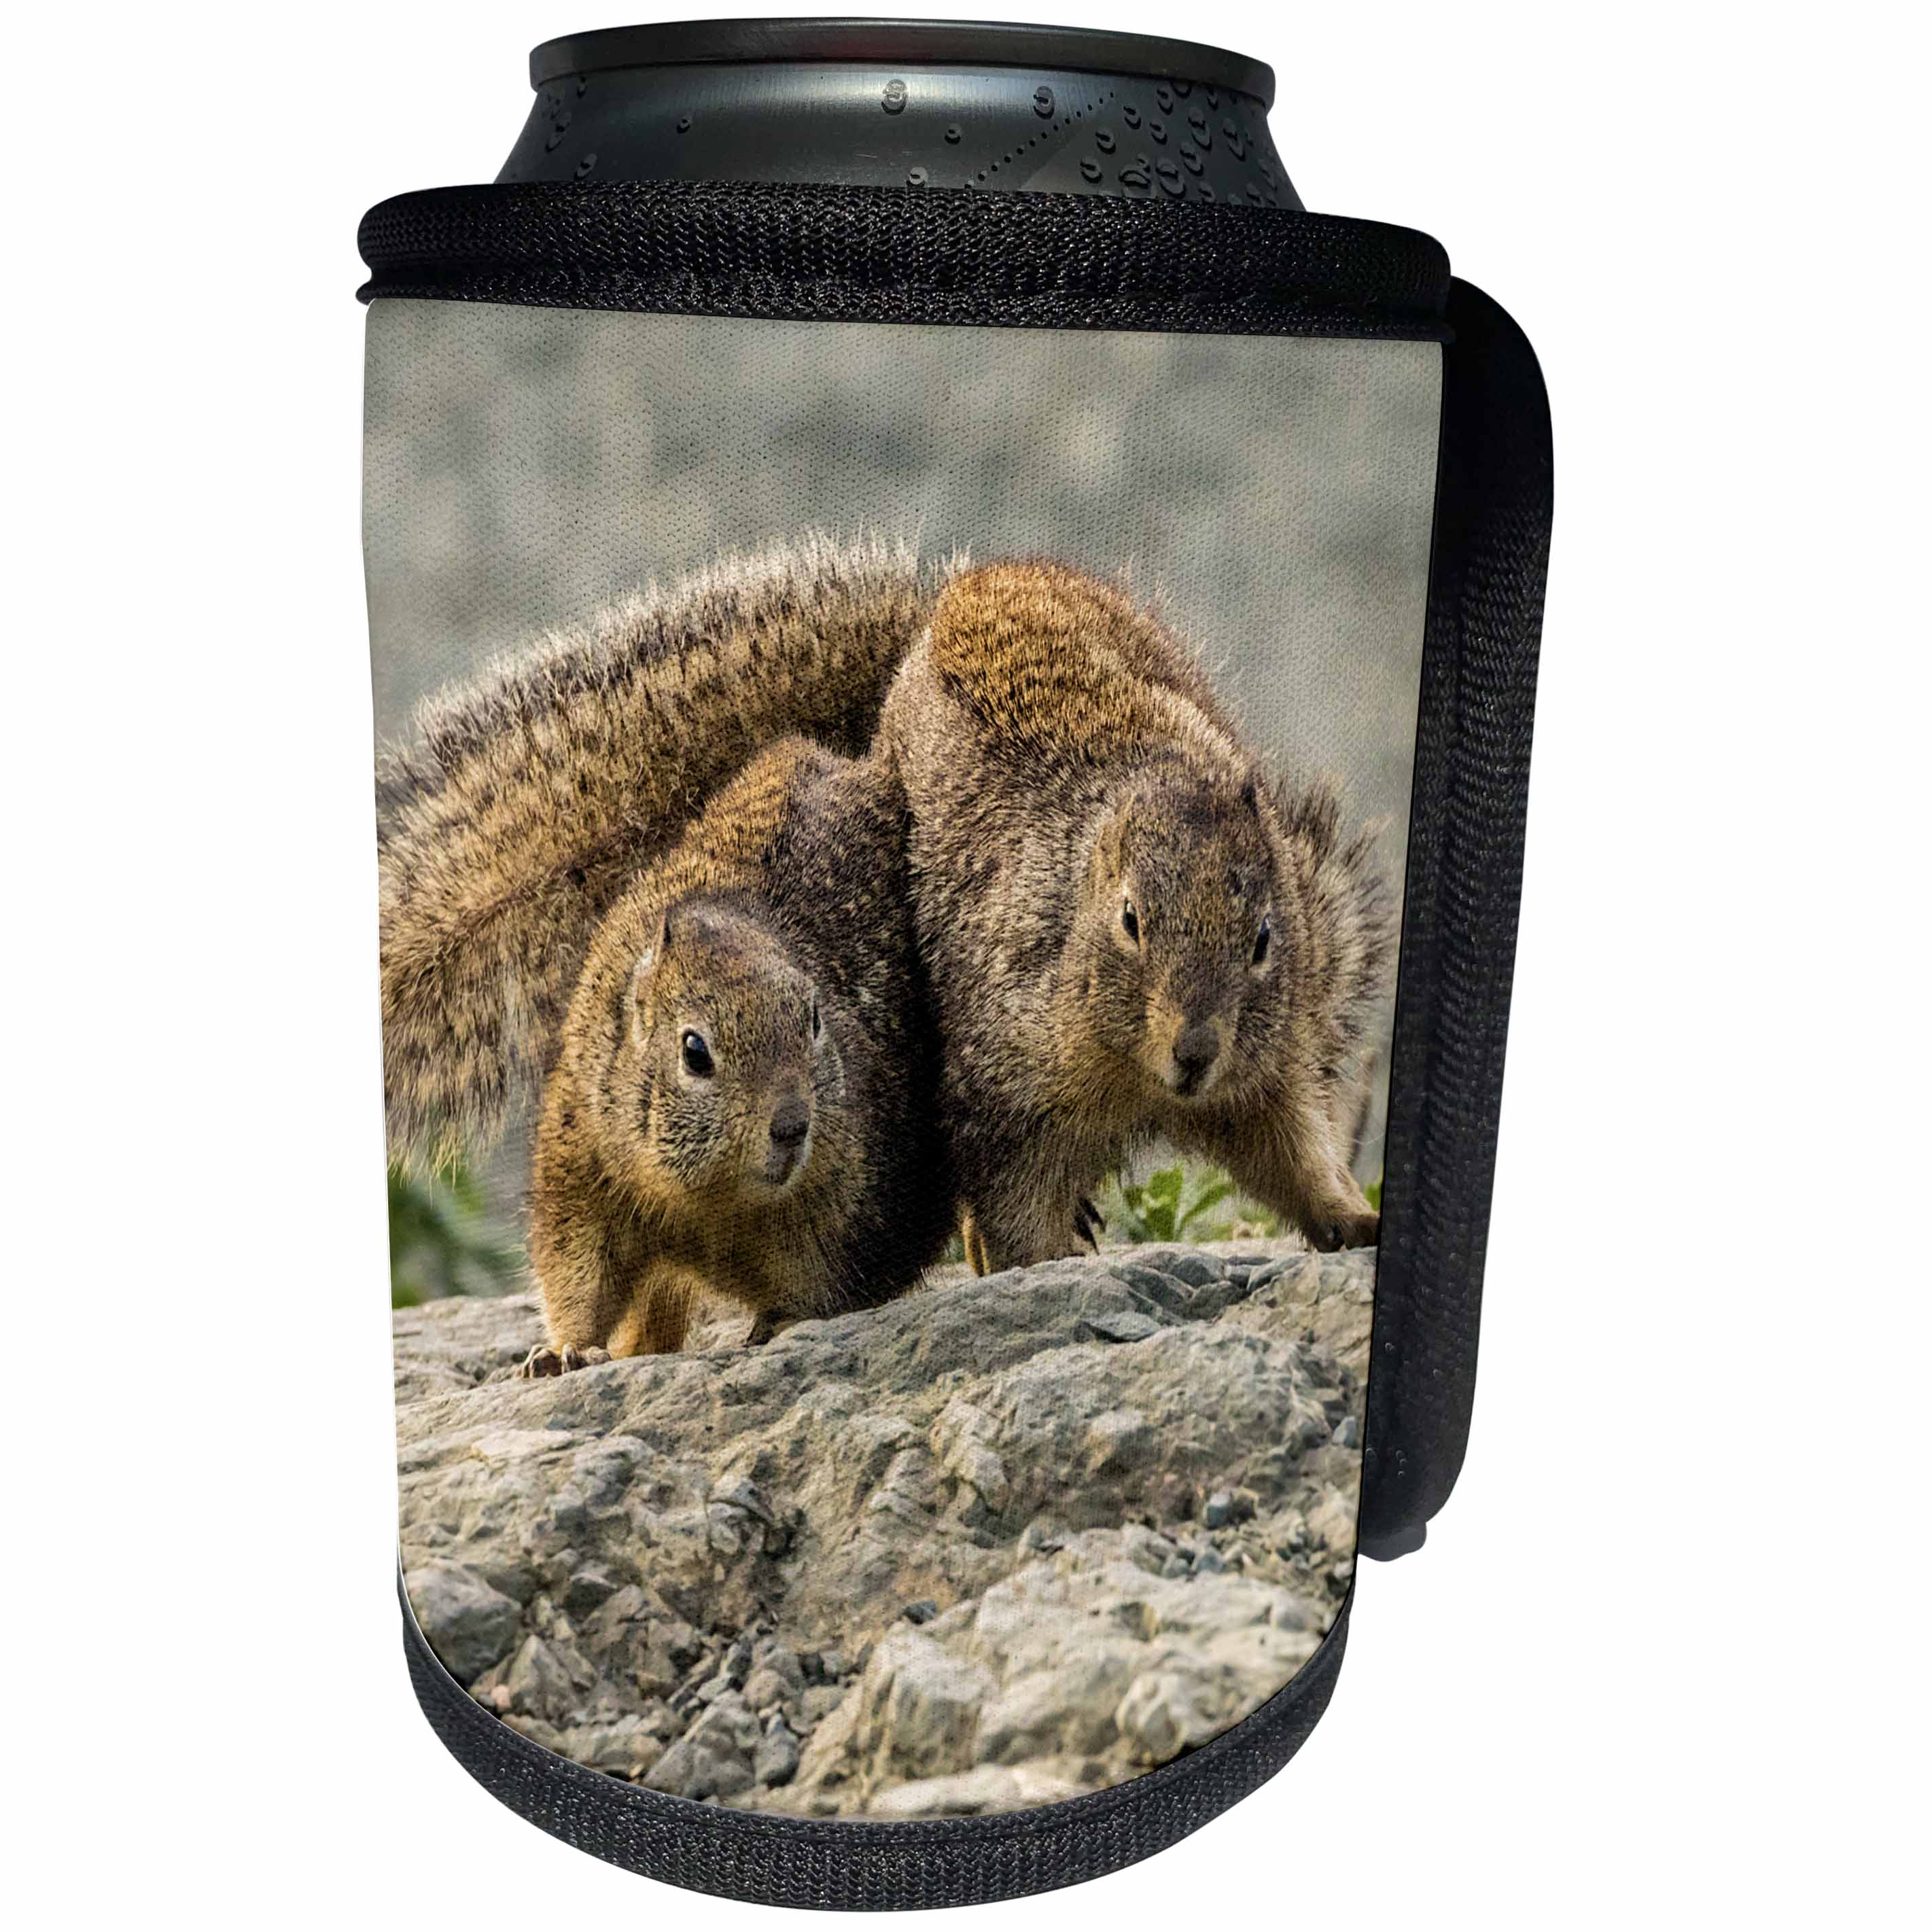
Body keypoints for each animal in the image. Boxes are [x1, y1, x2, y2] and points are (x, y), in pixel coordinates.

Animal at [521, 736, 954, 1368]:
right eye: (694, 1051)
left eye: (814, 1019)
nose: (792, 1125)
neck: (715, 1201)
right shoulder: (578, 1172)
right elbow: (577, 1280)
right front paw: (567, 1351)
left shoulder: (862, 1203)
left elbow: (832, 1284)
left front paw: (786, 1320)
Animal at [875, 558, 1393, 1276]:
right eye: (1130, 920)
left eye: (1263, 937)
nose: (1195, 1051)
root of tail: (979, 578)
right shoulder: (1002, 1086)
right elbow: (1013, 1203)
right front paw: (1041, 1258)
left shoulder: (1270, 1069)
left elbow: (1294, 1156)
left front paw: (1353, 1216)